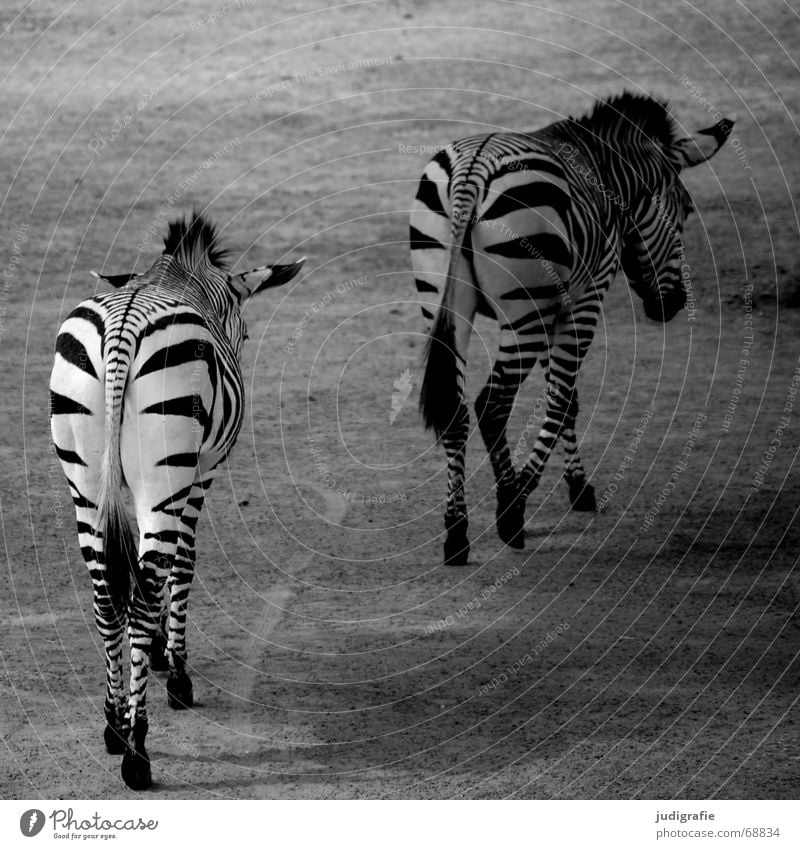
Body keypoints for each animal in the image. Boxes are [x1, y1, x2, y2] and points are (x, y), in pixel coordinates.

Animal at [47, 210, 304, 788]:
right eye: (245, 330)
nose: (243, 339)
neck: (173, 280)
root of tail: (121, 330)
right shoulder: (200, 471)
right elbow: (183, 564)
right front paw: (177, 669)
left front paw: (161, 657)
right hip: (166, 473)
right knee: (140, 594)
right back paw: (137, 750)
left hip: (84, 477)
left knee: (107, 594)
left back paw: (112, 722)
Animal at [412, 91, 732, 564]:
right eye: (687, 210)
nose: (670, 306)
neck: (608, 174)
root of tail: (472, 172)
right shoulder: (585, 298)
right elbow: (561, 398)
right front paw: (525, 494)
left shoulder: (556, 305)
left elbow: (566, 397)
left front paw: (575, 485)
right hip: (522, 312)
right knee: (492, 403)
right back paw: (510, 513)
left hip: (444, 303)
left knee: (455, 410)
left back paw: (456, 533)